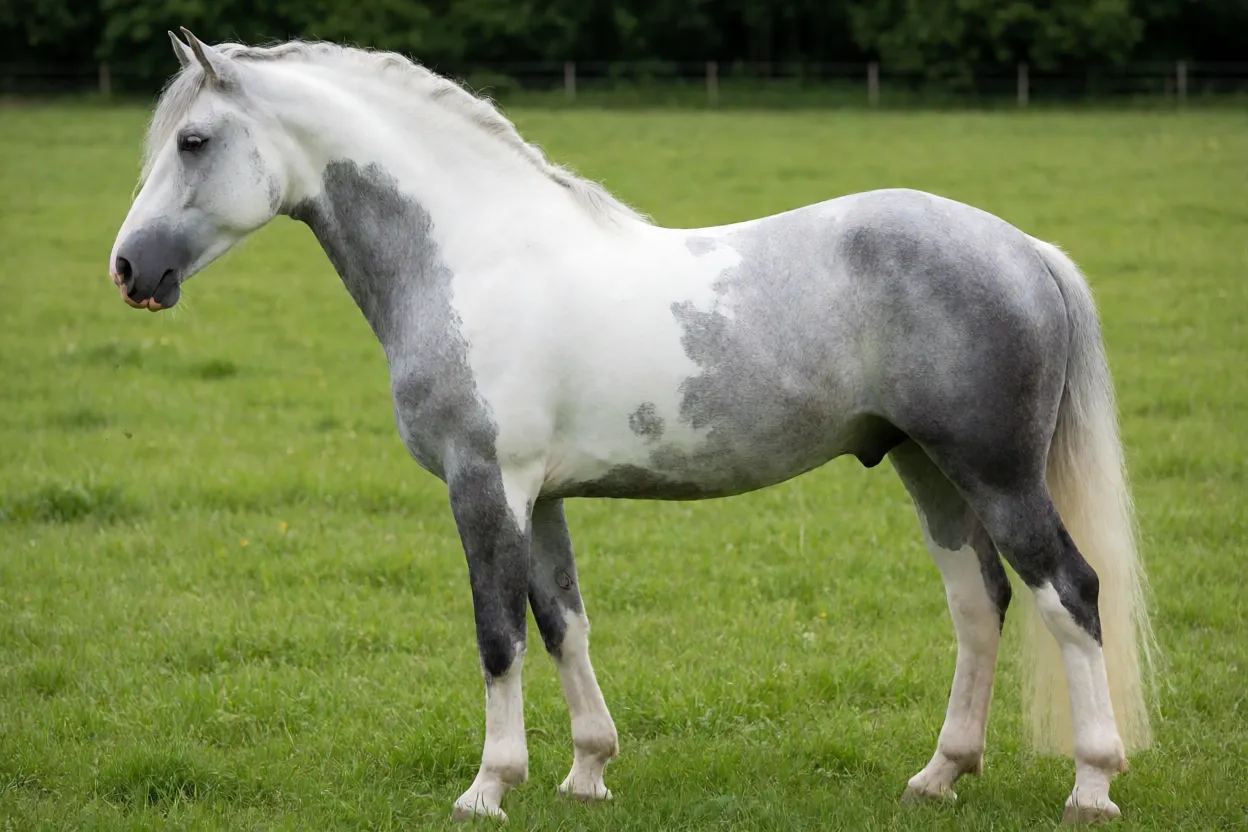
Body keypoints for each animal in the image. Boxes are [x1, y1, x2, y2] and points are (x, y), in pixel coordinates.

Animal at [109, 30, 1154, 823]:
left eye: (194, 140)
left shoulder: (485, 484)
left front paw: (487, 787)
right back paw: (938, 776)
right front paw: (586, 771)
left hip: (997, 473)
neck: (476, 256)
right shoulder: (540, 496)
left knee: (1070, 593)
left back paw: (1092, 784)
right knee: (981, 603)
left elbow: (497, 631)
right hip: (928, 469)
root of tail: (1024, 249)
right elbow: (561, 622)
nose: (128, 269)